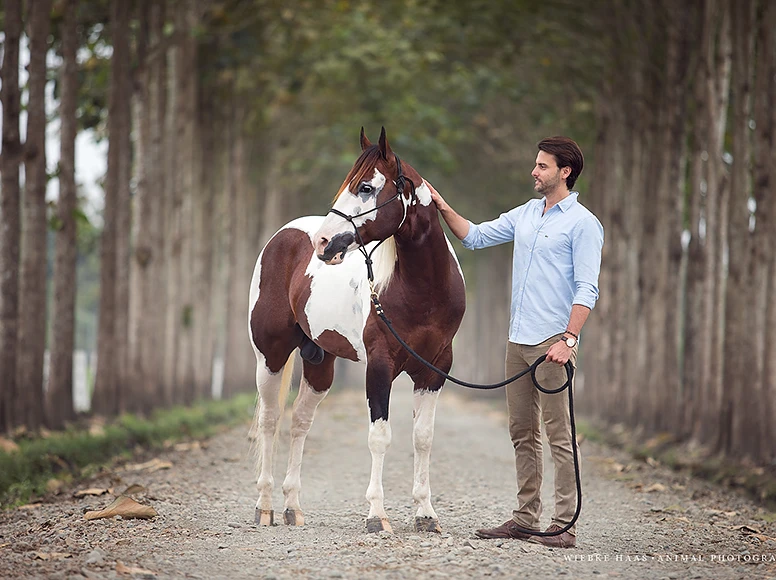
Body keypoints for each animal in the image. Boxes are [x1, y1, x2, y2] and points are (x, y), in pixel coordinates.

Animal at [248, 127, 466, 533]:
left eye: (366, 187)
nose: (322, 242)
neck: (422, 292)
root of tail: (283, 236)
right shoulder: (379, 366)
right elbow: (380, 437)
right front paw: (377, 515)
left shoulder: (434, 370)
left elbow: (423, 438)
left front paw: (426, 514)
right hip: (270, 355)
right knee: (270, 421)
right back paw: (265, 506)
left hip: (320, 362)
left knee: (300, 422)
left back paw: (292, 507)